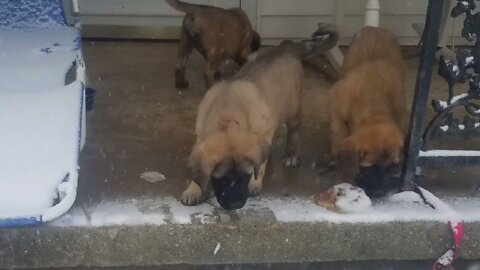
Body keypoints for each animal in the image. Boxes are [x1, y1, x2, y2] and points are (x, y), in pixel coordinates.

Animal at [330, 26, 404, 179]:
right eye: (368, 168)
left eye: (391, 166)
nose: (380, 192)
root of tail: (374, 27)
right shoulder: (336, 106)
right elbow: (339, 132)